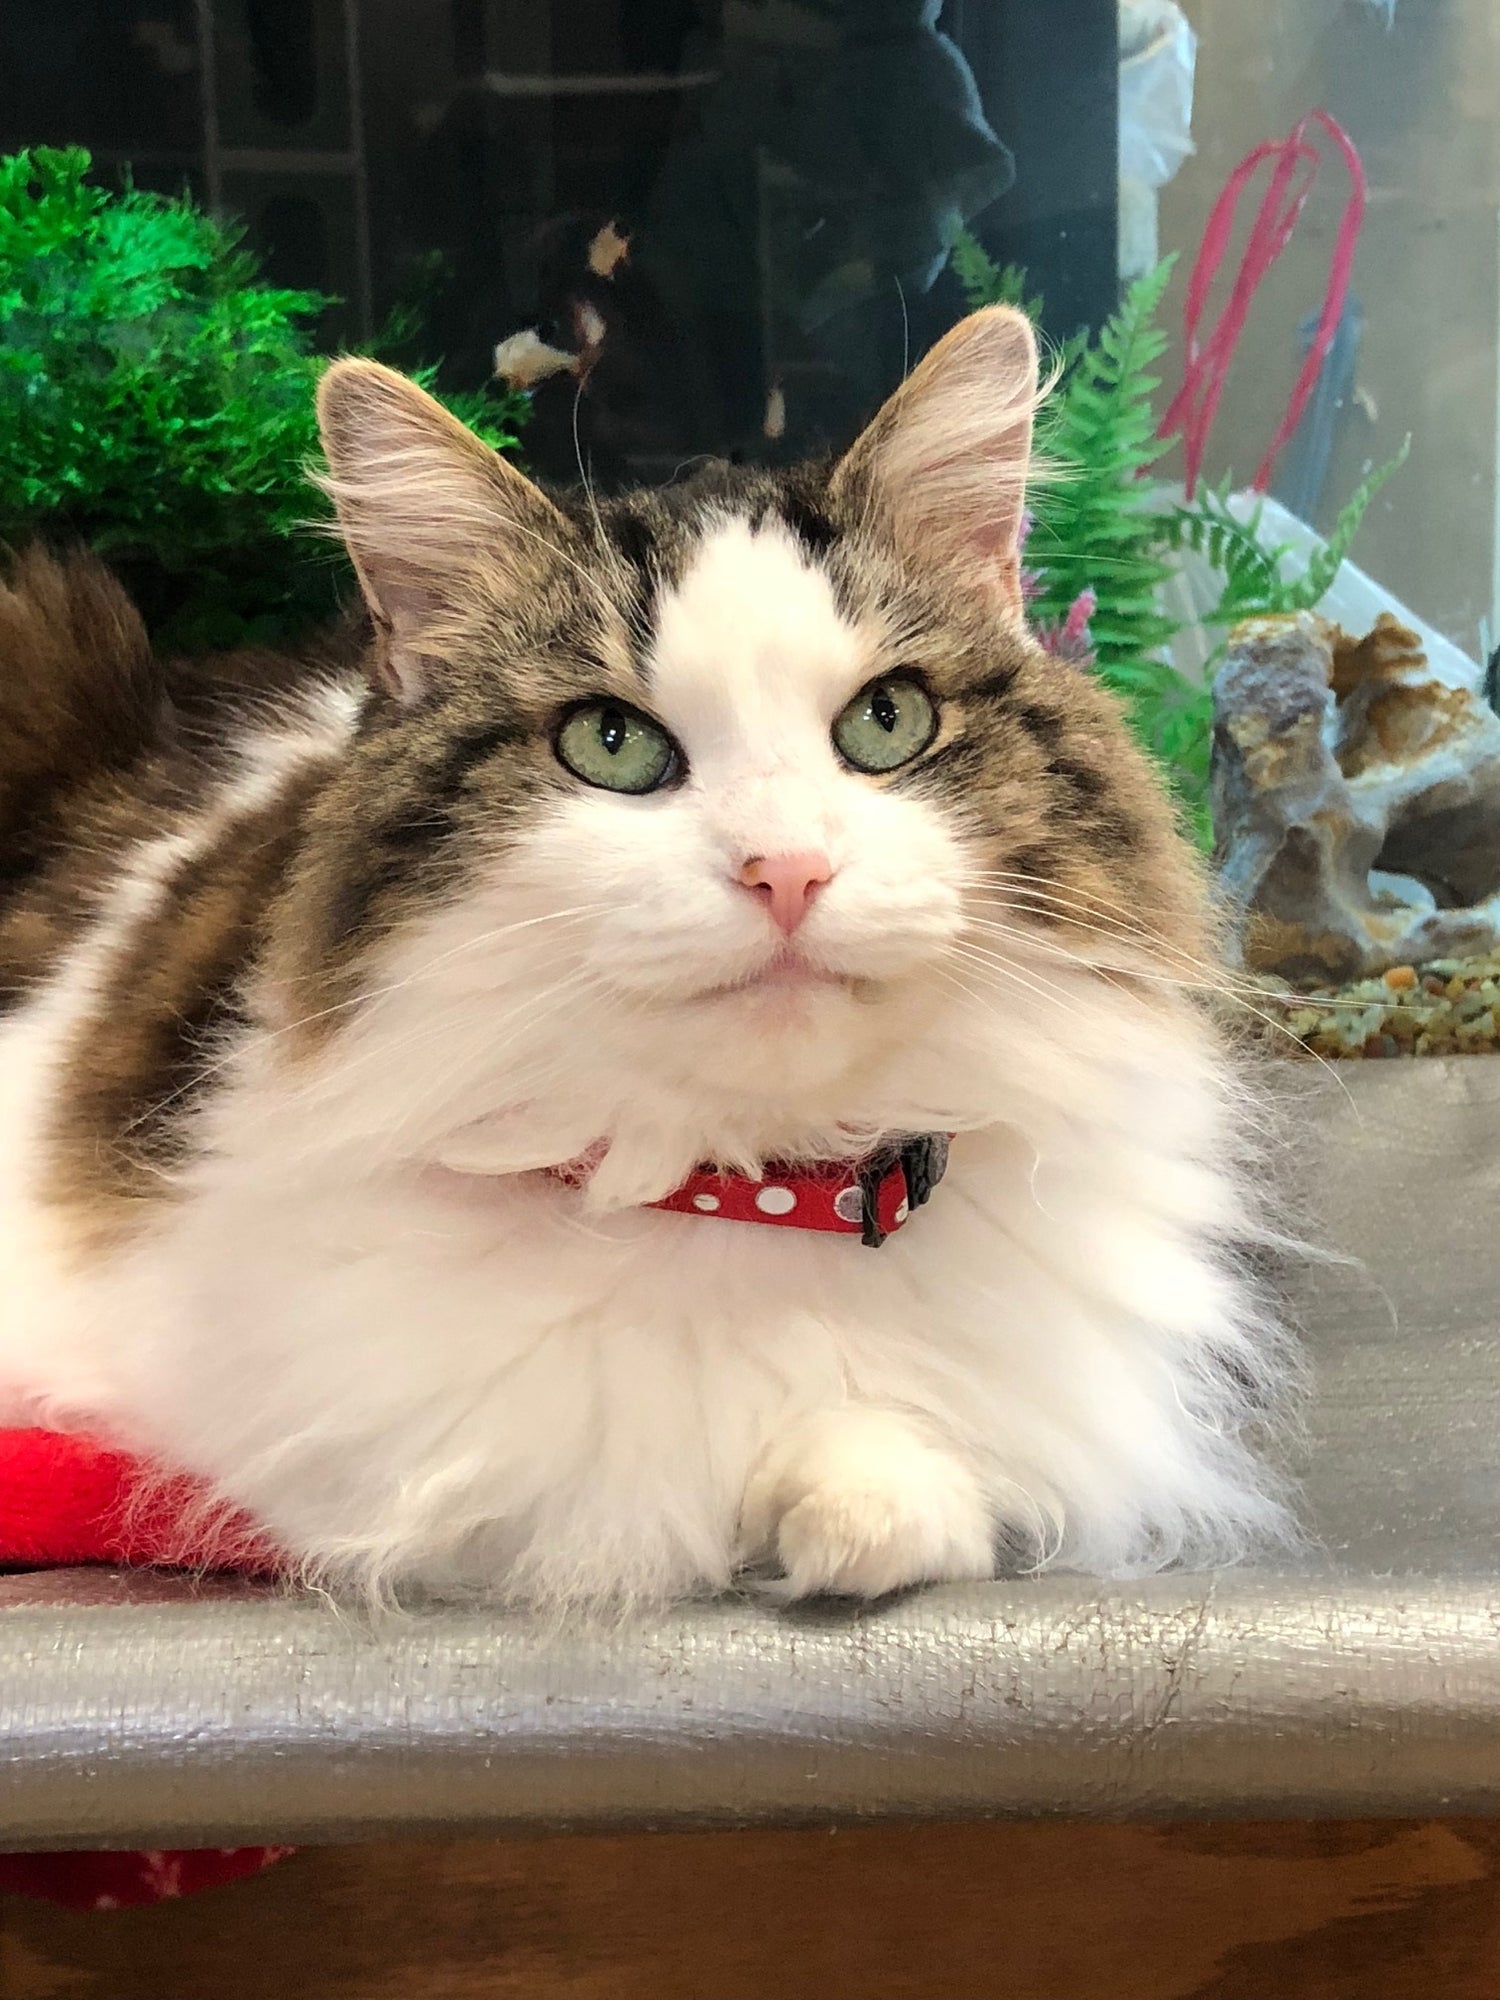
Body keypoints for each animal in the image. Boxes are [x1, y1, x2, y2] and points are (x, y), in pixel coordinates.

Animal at [0, 305, 1289, 1612]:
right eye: (611, 742)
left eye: (888, 722)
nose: (786, 871)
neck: (752, 1185)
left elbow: (903, 1476)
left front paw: (860, 1496)